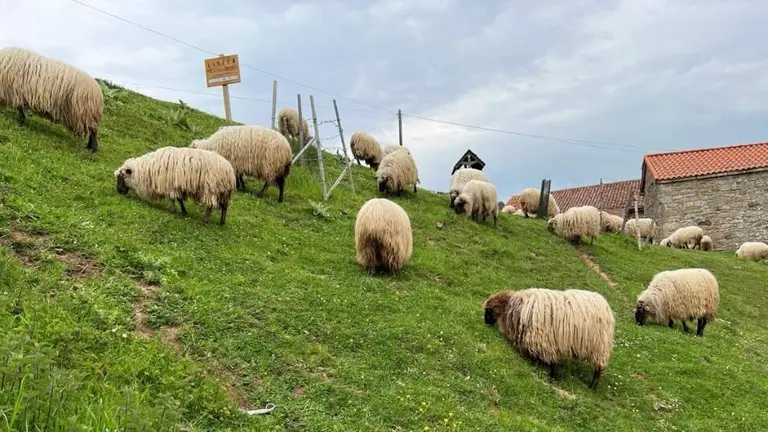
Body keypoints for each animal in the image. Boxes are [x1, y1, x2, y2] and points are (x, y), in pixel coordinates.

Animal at [483, 288, 615, 389]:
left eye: (488, 310)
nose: (486, 323)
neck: (515, 308)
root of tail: (605, 304)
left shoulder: (544, 341)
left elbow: (551, 363)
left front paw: (551, 377)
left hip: (600, 347)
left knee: (598, 369)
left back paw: (592, 387)